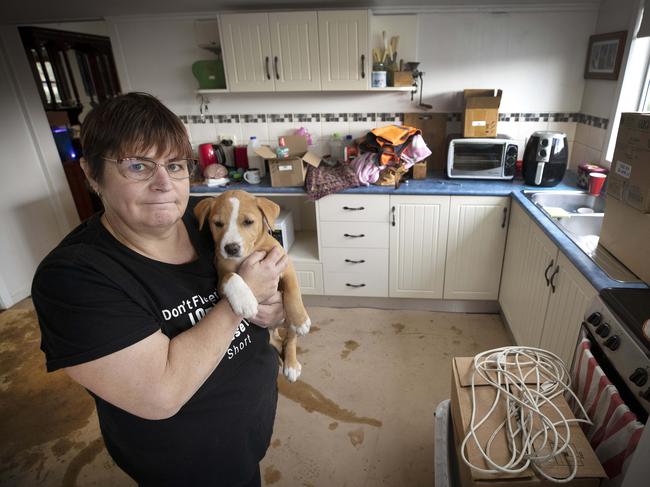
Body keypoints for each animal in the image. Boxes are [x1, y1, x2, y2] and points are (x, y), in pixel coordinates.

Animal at [194, 189, 310, 384]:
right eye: (218, 224)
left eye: (248, 222)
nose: (231, 248)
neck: (248, 253)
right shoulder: (221, 277)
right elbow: (232, 276)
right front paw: (245, 302)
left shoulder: (285, 266)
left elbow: (292, 291)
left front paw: (301, 320)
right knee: (279, 343)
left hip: (285, 320)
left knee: (290, 338)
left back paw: (291, 365)